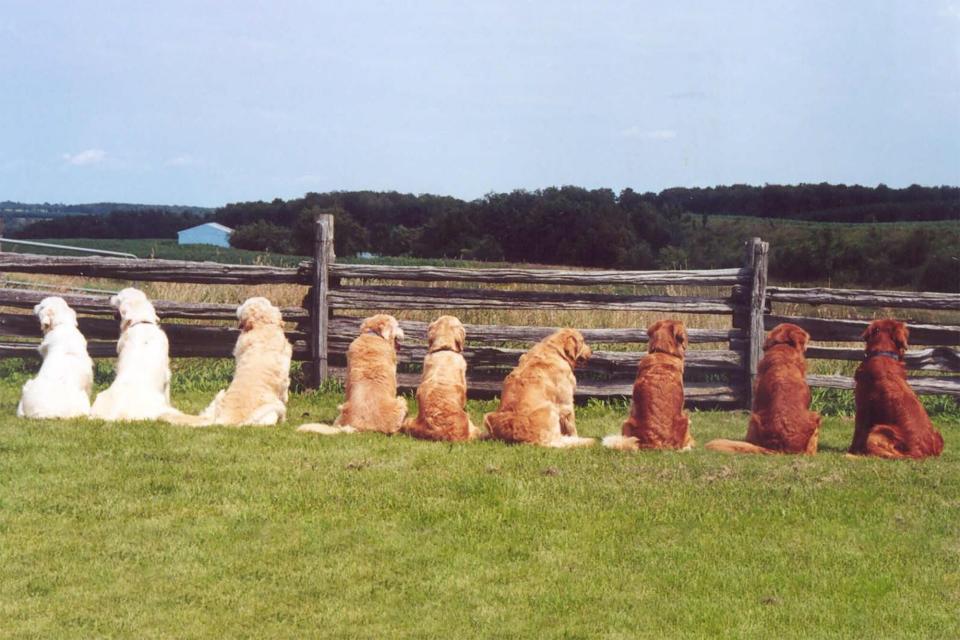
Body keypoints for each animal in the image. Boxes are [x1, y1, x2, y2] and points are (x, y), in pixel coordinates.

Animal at [163, 298, 290, 428]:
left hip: (219, 396)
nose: (238, 307)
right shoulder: (284, 378)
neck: (262, 326)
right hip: (270, 411)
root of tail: (222, 419)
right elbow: (284, 394)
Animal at [848, 320, 944, 460]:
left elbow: (858, 433)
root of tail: (918, 452)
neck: (883, 353)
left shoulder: (862, 407)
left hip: (877, 430)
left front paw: (852, 451)